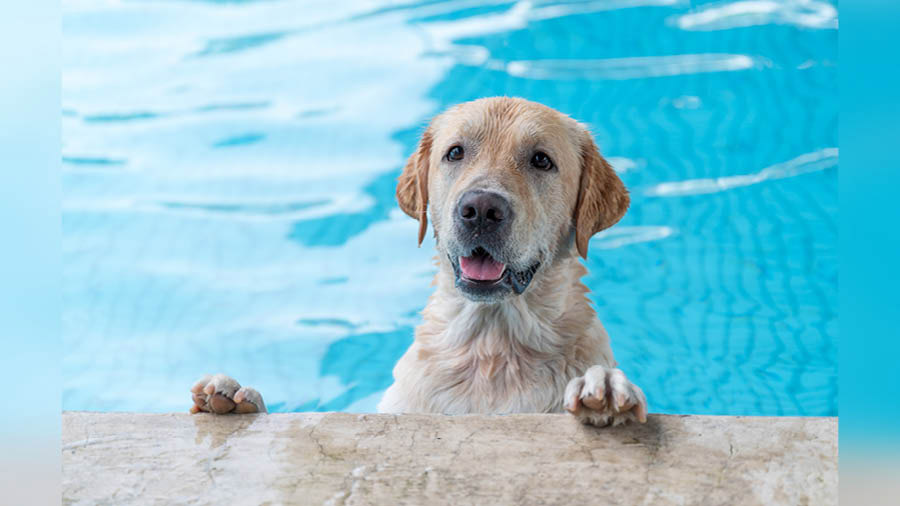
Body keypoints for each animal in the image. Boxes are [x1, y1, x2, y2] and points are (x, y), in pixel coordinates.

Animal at [190, 96, 648, 426]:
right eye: (455, 153)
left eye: (541, 159)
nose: (481, 209)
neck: (492, 349)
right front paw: (238, 398)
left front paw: (604, 388)